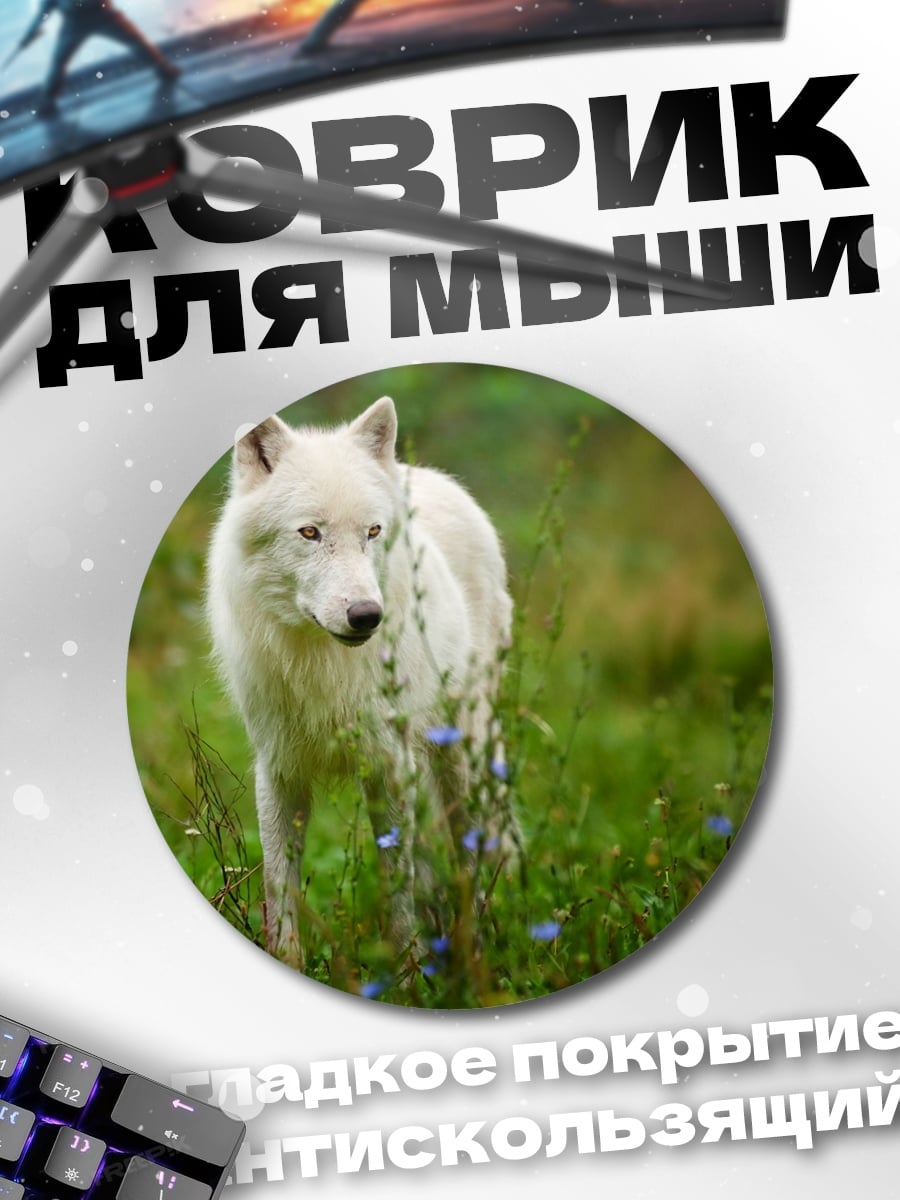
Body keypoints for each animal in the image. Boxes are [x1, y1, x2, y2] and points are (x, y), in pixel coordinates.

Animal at [207, 396, 517, 967]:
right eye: (310, 533)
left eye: (372, 533)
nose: (367, 616)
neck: (322, 665)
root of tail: (425, 473)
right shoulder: (278, 769)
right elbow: (280, 886)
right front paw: (289, 962)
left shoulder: (390, 766)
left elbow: (397, 888)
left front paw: (409, 972)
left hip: (463, 753)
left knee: (472, 853)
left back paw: (478, 943)